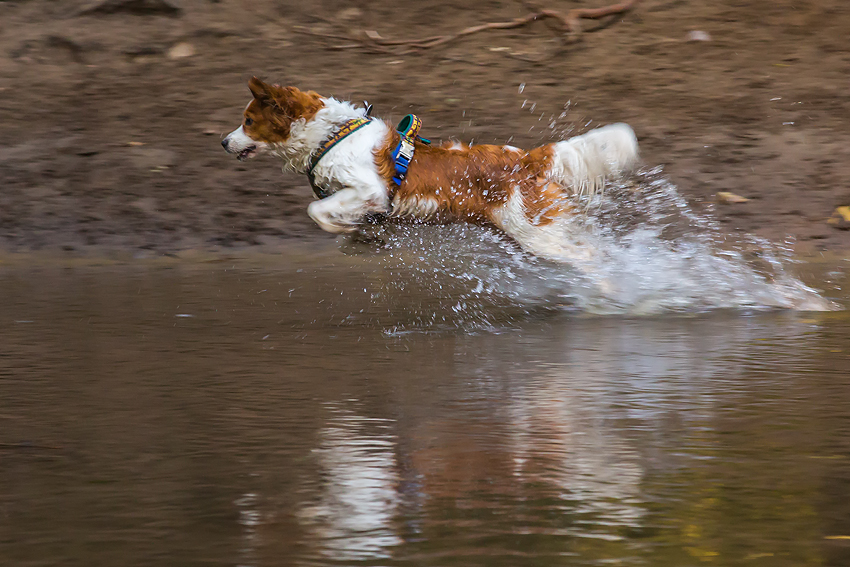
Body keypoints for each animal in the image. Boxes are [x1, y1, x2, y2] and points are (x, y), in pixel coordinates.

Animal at [220, 76, 636, 260]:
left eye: (248, 121)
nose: (223, 142)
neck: (330, 135)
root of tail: (527, 157)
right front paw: (360, 236)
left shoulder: (370, 190)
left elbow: (316, 210)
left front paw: (345, 228)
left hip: (535, 234)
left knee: (591, 260)